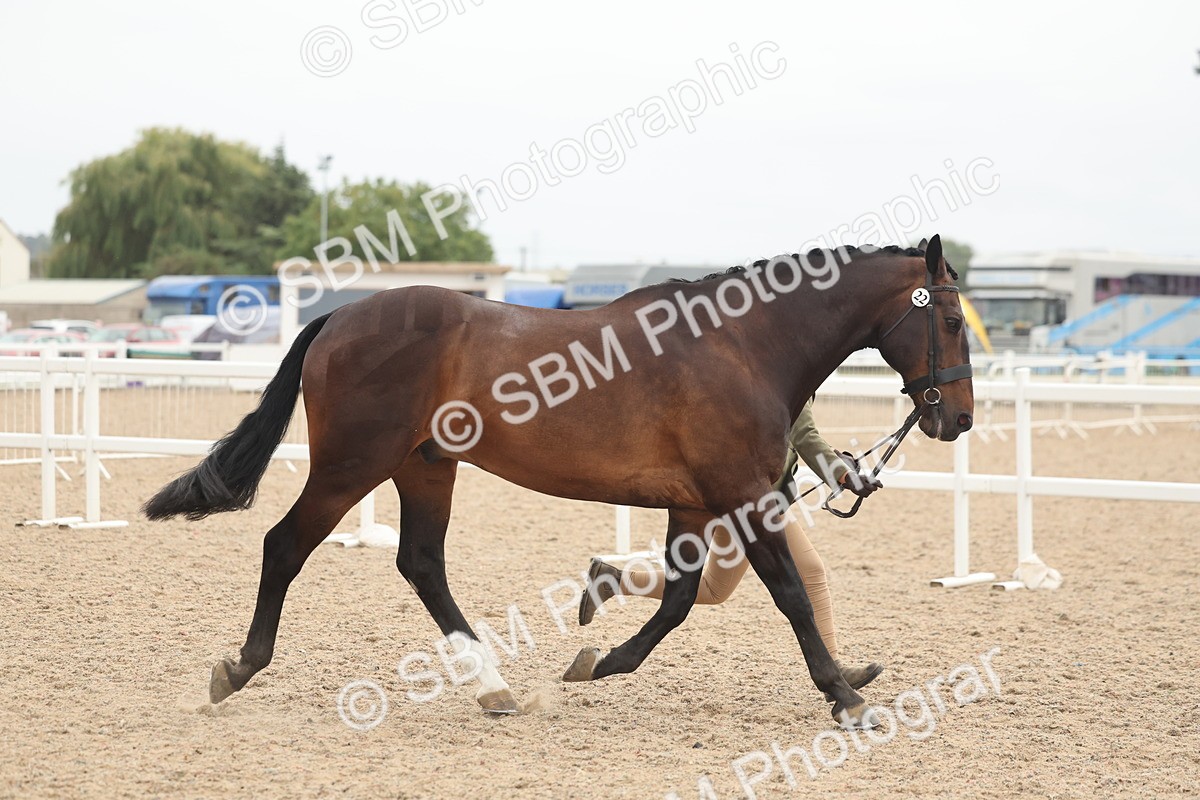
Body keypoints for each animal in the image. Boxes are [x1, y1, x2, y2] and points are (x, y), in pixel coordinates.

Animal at [145, 234, 973, 728]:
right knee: (285, 546)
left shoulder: (693, 505)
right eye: (955, 321)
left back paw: (494, 687)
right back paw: (238, 669)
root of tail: (340, 318)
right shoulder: (743, 498)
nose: (958, 417)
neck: (743, 346)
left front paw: (599, 661)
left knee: (421, 564)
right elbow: (790, 595)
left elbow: (677, 601)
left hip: (425, 468)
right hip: (354, 465)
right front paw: (845, 694)